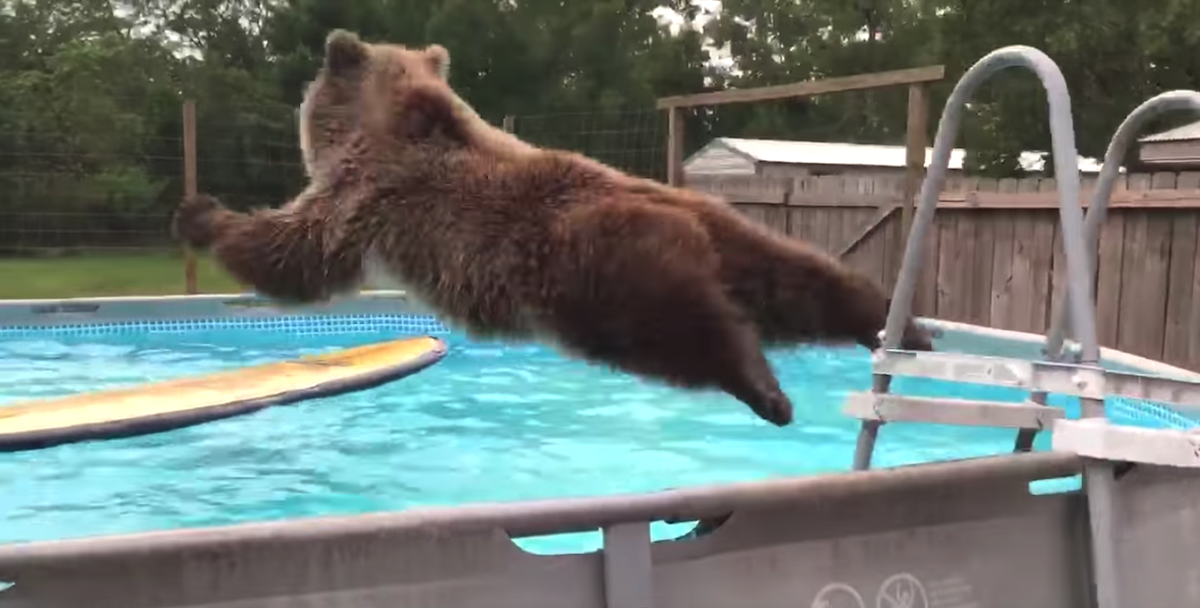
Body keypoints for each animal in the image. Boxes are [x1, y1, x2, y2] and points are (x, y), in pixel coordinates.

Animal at [174, 29, 931, 429]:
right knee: (806, 283)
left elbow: (297, 253)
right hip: (736, 238)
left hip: (592, 276)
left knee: (685, 334)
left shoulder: (367, 192)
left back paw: (764, 390)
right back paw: (896, 326)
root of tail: (683, 213)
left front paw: (202, 214)